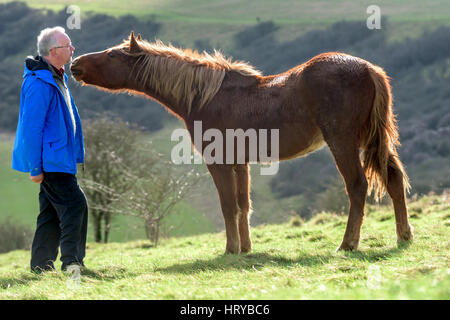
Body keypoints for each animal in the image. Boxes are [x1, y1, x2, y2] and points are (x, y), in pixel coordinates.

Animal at [72, 31, 414, 254]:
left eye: (112, 55)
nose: (75, 64)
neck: (207, 95)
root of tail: (368, 68)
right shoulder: (240, 162)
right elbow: (242, 205)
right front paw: (246, 248)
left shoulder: (219, 162)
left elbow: (228, 206)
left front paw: (231, 249)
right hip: (373, 141)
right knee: (394, 179)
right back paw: (404, 237)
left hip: (342, 142)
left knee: (357, 186)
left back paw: (348, 243)